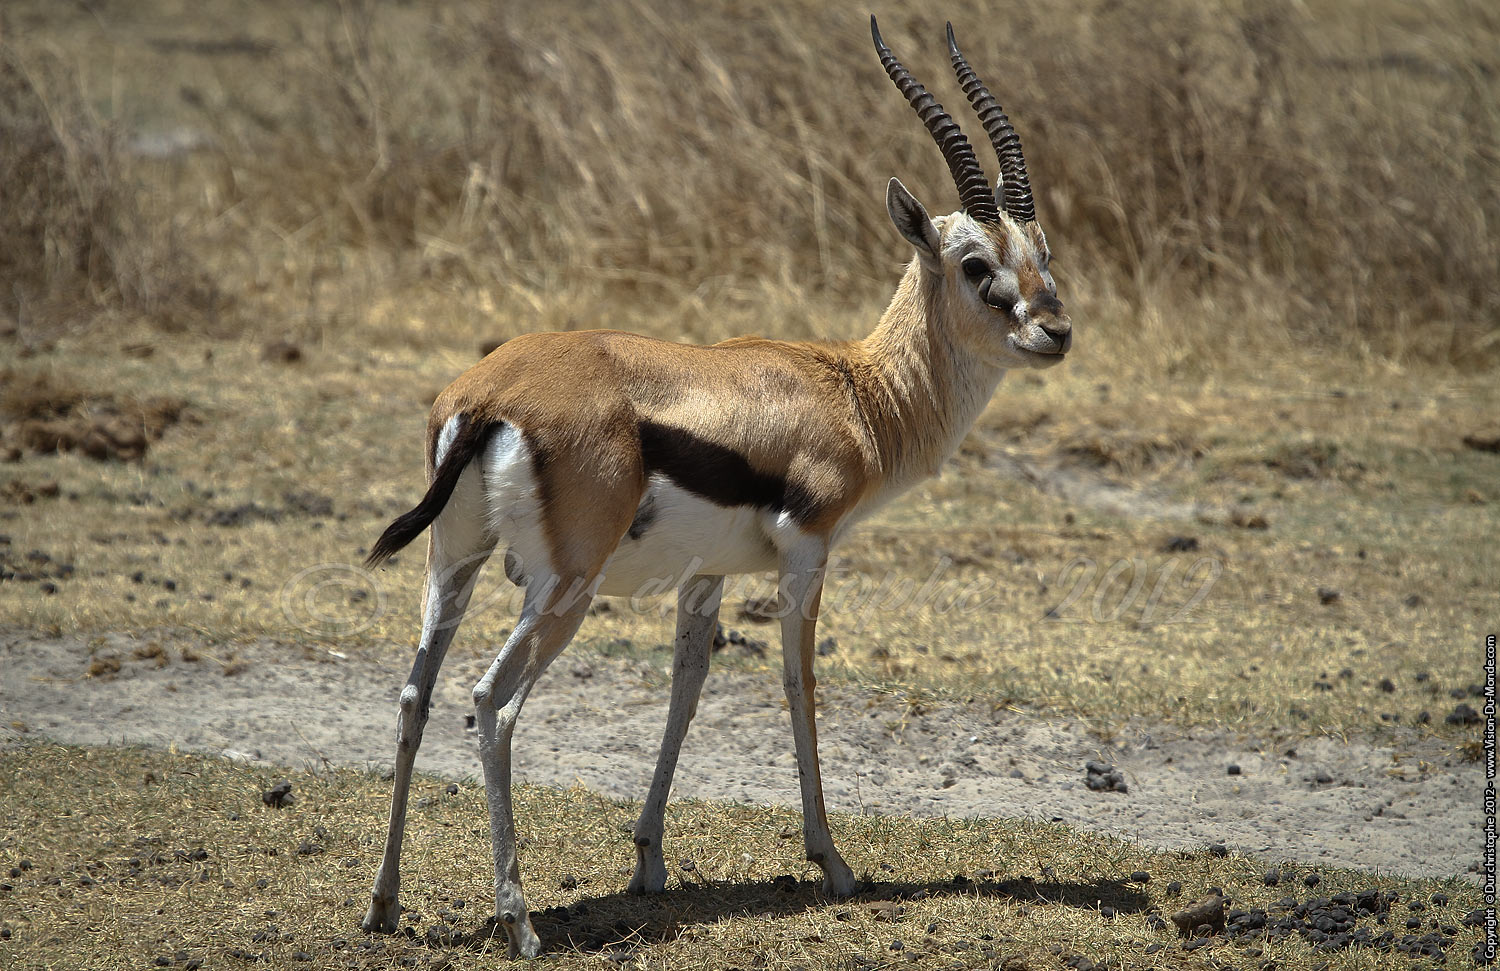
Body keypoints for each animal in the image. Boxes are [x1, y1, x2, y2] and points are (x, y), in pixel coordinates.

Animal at [360, 17, 1071, 958]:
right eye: (974, 262)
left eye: (1042, 253)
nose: (1057, 331)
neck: (855, 392)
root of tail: (488, 395)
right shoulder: (806, 554)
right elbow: (800, 684)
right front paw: (833, 862)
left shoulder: (704, 577)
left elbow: (687, 686)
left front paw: (649, 858)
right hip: (562, 589)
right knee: (491, 702)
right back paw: (519, 920)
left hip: (455, 564)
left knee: (415, 693)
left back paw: (383, 903)